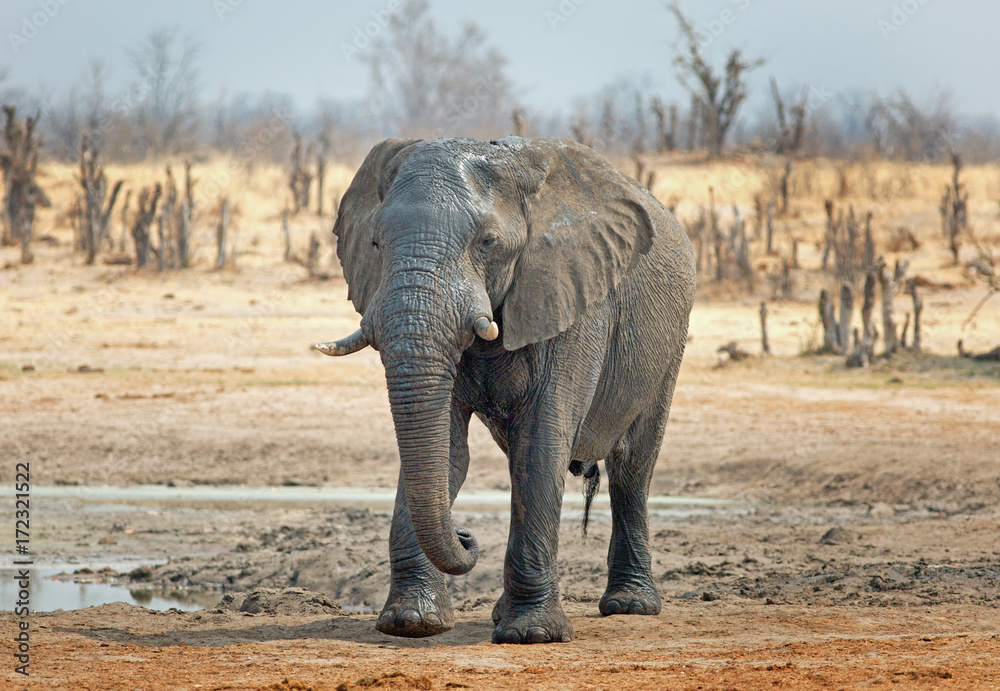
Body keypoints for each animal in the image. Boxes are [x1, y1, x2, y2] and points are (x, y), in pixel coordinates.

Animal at [316, 136, 696, 644]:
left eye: (487, 243)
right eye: (375, 243)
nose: (466, 536)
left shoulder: (570, 298)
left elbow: (541, 443)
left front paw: (531, 635)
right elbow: (447, 449)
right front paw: (411, 623)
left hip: (669, 344)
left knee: (633, 466)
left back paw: (629, 606)